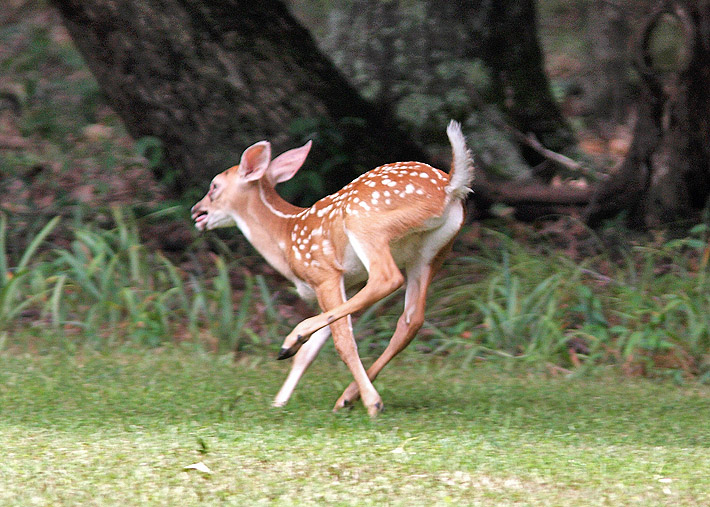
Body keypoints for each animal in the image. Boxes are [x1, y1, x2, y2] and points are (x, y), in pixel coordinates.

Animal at [192, 122, 476, 416]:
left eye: (214, 186)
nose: (196, 212)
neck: (287, 235)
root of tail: (449, 187)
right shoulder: (347, 283)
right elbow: (311, 352)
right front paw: (278, 402)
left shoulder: (324, 273)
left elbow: (342, 340)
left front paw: (371, 401)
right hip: (432, 252)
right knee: (412, 318)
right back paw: (346, 395)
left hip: (365, 224)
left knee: (386, 280)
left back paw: (303, 346)